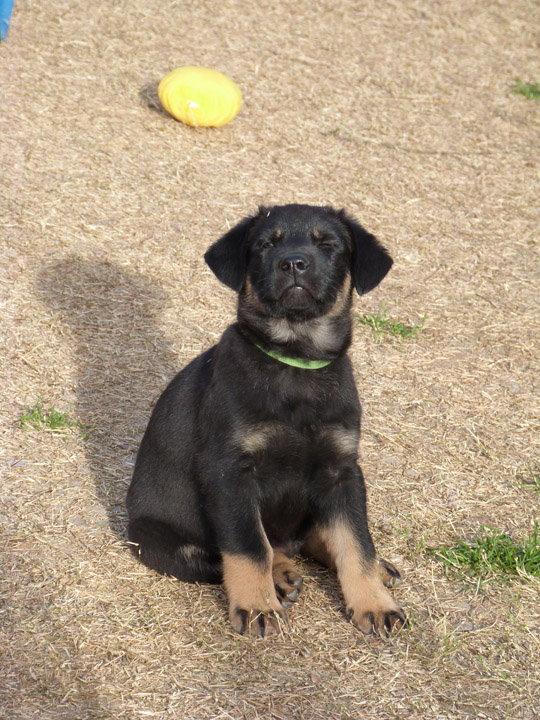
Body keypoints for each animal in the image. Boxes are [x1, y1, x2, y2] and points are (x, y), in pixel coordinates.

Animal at [126, 202, 404, 636]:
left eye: (328, 244)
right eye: (265, 245)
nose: (293, 263)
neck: (296, 359)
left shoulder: (342, 469)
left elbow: (357, 541)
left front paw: (374, 604)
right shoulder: (229, 471)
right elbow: (248, 545)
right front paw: (258, 607)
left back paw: (374, 567)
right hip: (160, 542)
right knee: (234, 554)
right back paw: (280, 574)